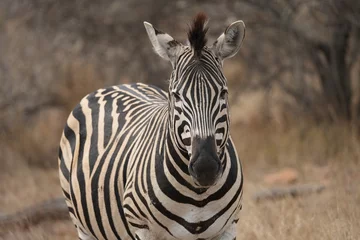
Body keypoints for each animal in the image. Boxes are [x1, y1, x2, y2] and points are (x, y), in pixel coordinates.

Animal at [58, 13, 245, 240]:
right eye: (176, 95)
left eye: (223, 93)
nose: (205, 167)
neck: (198, 195)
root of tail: (117, 84)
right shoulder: (142, 227)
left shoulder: (229, 227)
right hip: (82, 225)